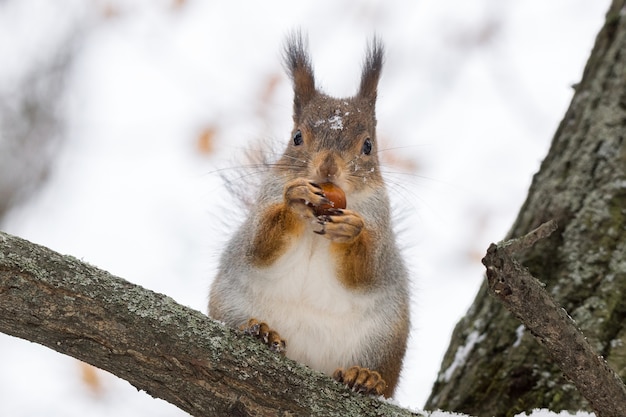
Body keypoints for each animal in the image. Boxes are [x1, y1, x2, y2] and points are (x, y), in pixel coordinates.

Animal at [210, 33, 410, 396]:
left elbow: (370, 269)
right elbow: (257, 245)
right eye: (297, 137)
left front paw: (351, 229)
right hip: (230, 305)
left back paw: (366, 377)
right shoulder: (263, 202)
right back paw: (262, 331)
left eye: (368, 146)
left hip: (383, 341)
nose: (327, 169)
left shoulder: (381, 225)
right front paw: (296, 198)